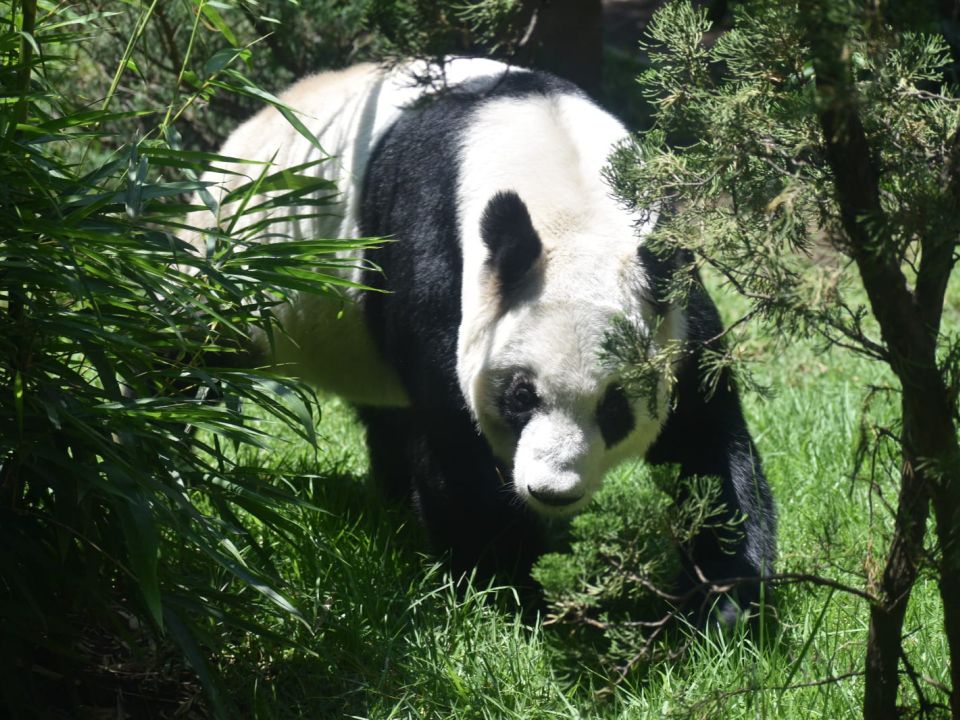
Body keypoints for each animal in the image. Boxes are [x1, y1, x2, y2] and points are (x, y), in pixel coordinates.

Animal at [191, 57, 776, 620]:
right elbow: (456, 441)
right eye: (521, 396)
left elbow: (705, 441)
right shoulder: (442, 257)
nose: (551, 490)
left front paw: (723, 605)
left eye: (615, 406)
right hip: (234, 263)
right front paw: (509, 592)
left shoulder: (671, 296)